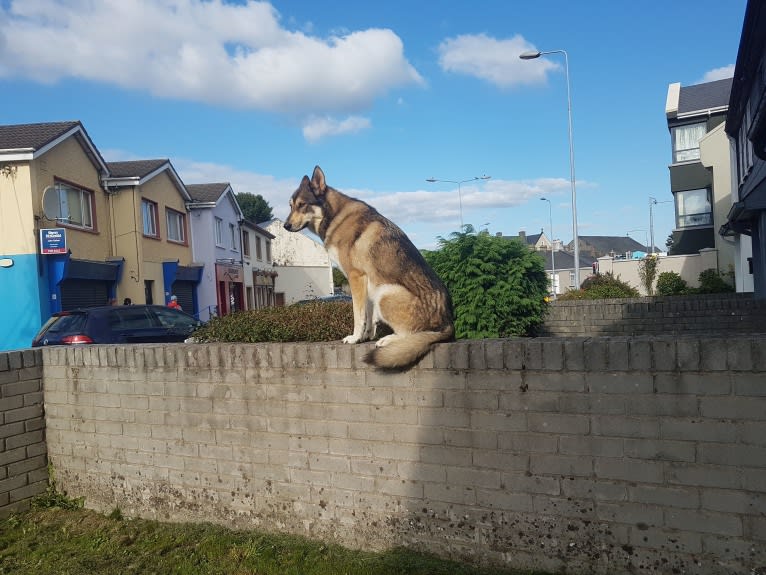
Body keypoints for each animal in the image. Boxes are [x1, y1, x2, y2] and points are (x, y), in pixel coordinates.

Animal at [286, 165, 456, 368]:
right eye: (290, 205)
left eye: (302, 204)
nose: (286, 225)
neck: (334, 216)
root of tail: (447, 322)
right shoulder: (366, 282)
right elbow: (368, 314)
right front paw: (366, 337)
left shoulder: (356, 277)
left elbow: (358, 315)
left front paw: (354, 338)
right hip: (378, 292)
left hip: (385, 293)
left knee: (412, 335)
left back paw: (388, 340)